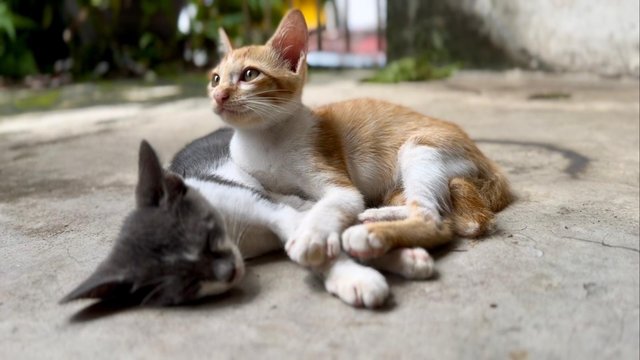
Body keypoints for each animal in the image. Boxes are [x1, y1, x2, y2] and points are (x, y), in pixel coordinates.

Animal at [210, 9, 516, 270]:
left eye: (250, 74)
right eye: (215, 79)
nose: (218, 95)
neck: (264, 138)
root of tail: (485, 159)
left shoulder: (335, 178)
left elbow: (333, 203)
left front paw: (311, 235)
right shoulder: (254, 177)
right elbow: (276, 194)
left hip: (420, 148)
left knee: (436, 219)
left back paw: (370, 234)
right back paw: (375, 215)